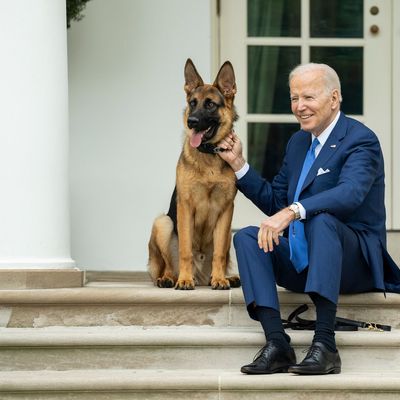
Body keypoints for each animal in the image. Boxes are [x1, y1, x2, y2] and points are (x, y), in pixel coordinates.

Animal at [148, 59, 239, 290]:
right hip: (163, 223)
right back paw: (170, 278)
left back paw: (227, 277)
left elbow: (219, 254)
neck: (208, 157)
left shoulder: (226, 210)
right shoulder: (185, 207)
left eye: (210, 104)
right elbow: (186, 249)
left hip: (229, 233)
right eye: (192, 103)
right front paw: (184, 280)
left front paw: (220, 279)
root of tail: (201, 277)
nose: (192, 121)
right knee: (169, 265)